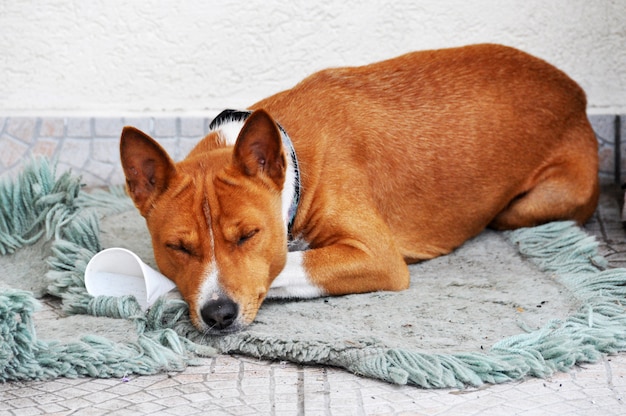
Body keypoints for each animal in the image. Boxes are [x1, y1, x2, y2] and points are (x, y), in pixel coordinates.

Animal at [120, 44, 596, 334]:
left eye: (249, 235)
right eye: (178, 247)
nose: (219, 314)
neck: (296, 160)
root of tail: (578, 94)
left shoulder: (377, 256)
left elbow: (286, 264)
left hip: (526, 207)